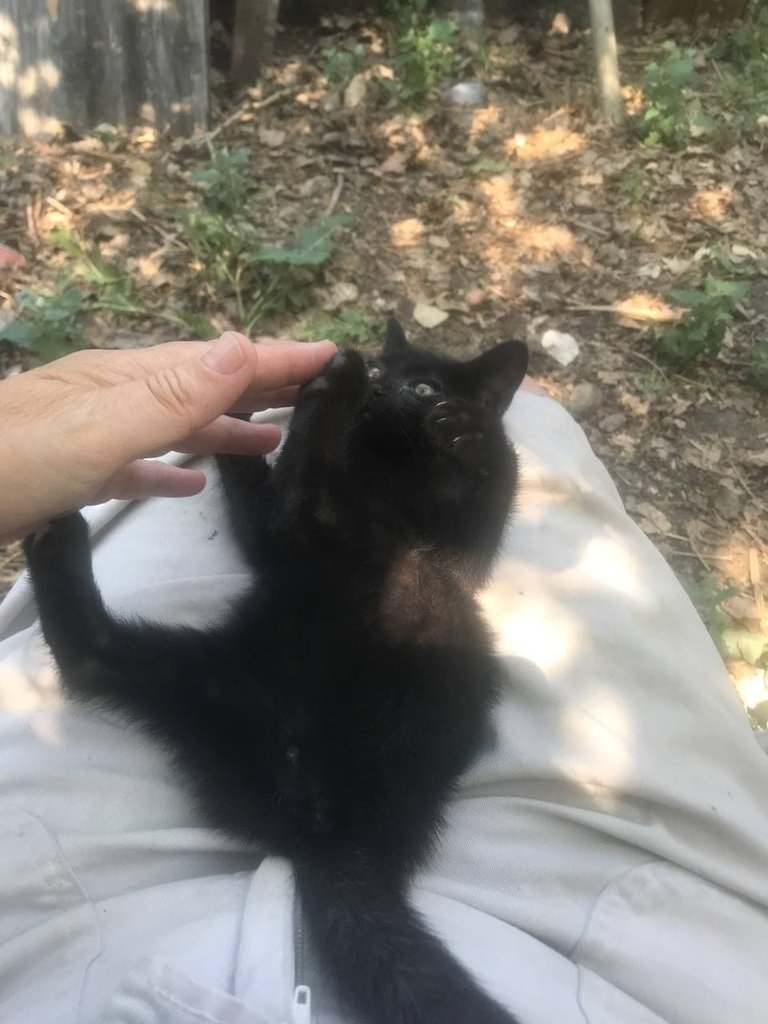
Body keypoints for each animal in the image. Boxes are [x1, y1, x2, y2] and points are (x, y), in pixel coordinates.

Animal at [25, 319, 528, 1024]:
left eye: (424, 385)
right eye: (386, 369)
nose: (376, 383)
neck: (383, 479)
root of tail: (323, 835)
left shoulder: (456, 553)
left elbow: (497, 477)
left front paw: (464, 427)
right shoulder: (287, 535)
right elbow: (282, 492)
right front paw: (243, 405)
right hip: (208, 681)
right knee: (93, 660)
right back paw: (58, 544)